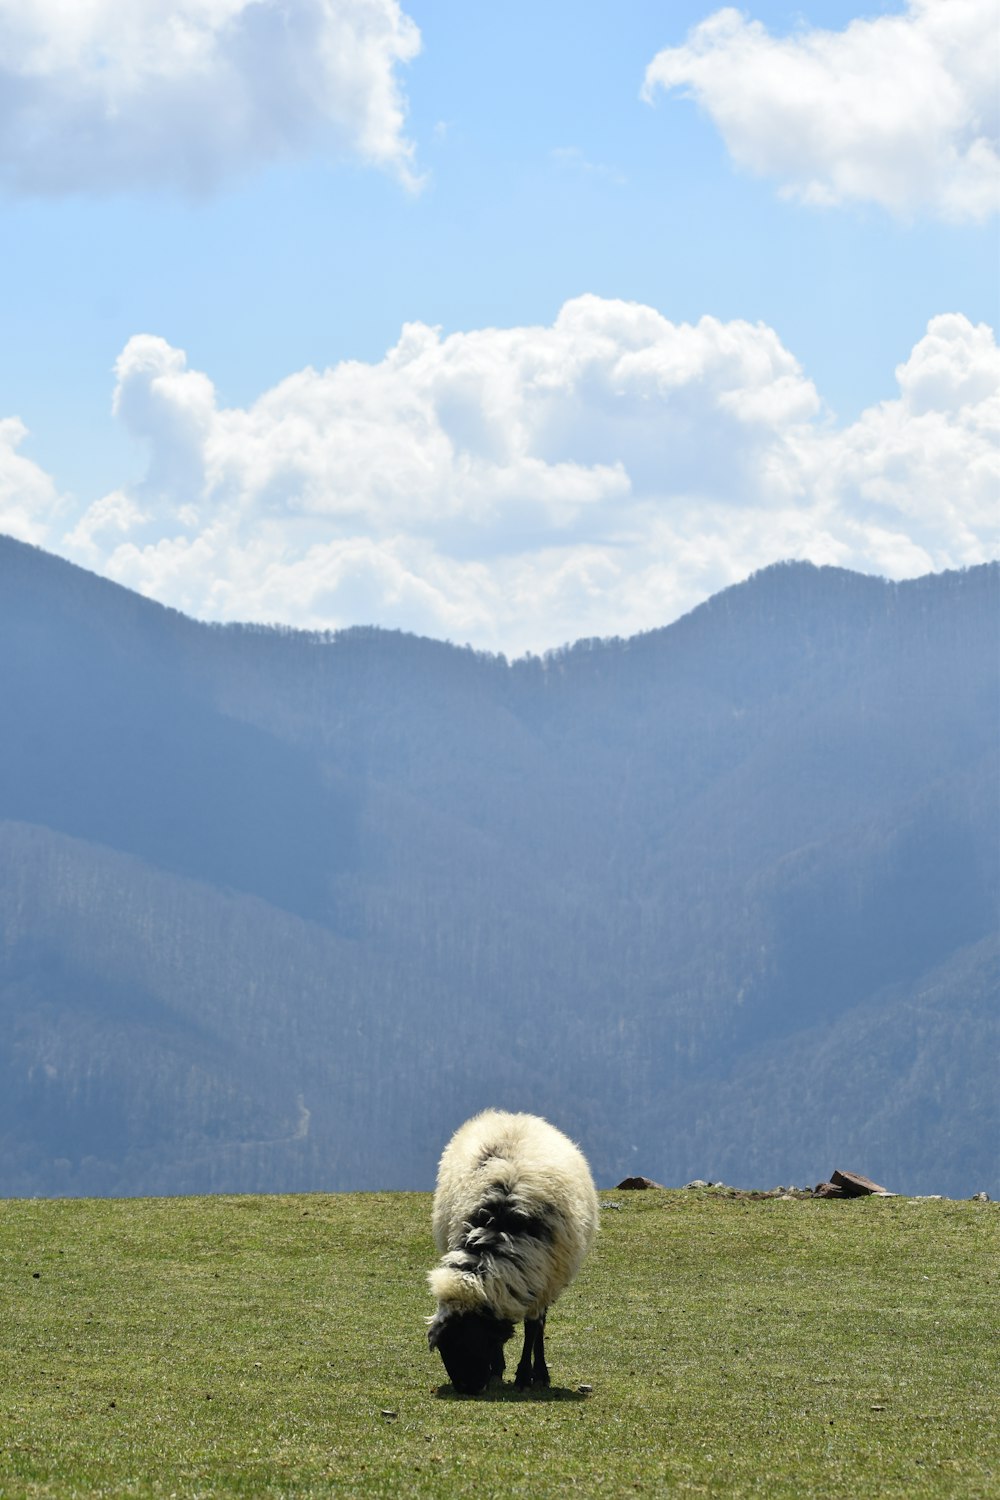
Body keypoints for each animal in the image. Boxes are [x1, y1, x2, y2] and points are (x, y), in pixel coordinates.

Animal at [425, 1116, 599, 1392]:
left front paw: (526, 1375)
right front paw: (498, 1369)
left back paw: (539, 1374)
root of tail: (510, 1115)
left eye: (471, 1337)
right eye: (445, 1347)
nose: (468, 1388)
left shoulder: (541, 1280)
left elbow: (533, 1329)